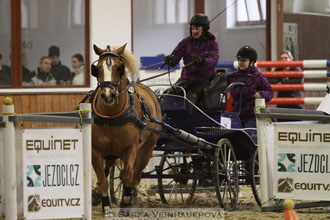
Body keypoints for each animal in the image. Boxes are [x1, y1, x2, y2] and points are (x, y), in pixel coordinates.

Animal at [90, 43, 162, 217]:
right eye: (98, 68)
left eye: (119, 68)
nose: (108, 95)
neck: (111, 116)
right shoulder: (96, 150)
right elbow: (103, 178)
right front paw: (106, 207)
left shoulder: (130, 148)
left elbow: (128, 173)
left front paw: (126, 201)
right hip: (111, 150)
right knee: (108, 169)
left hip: (147, 147)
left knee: (137, 173)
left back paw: (131, 196)